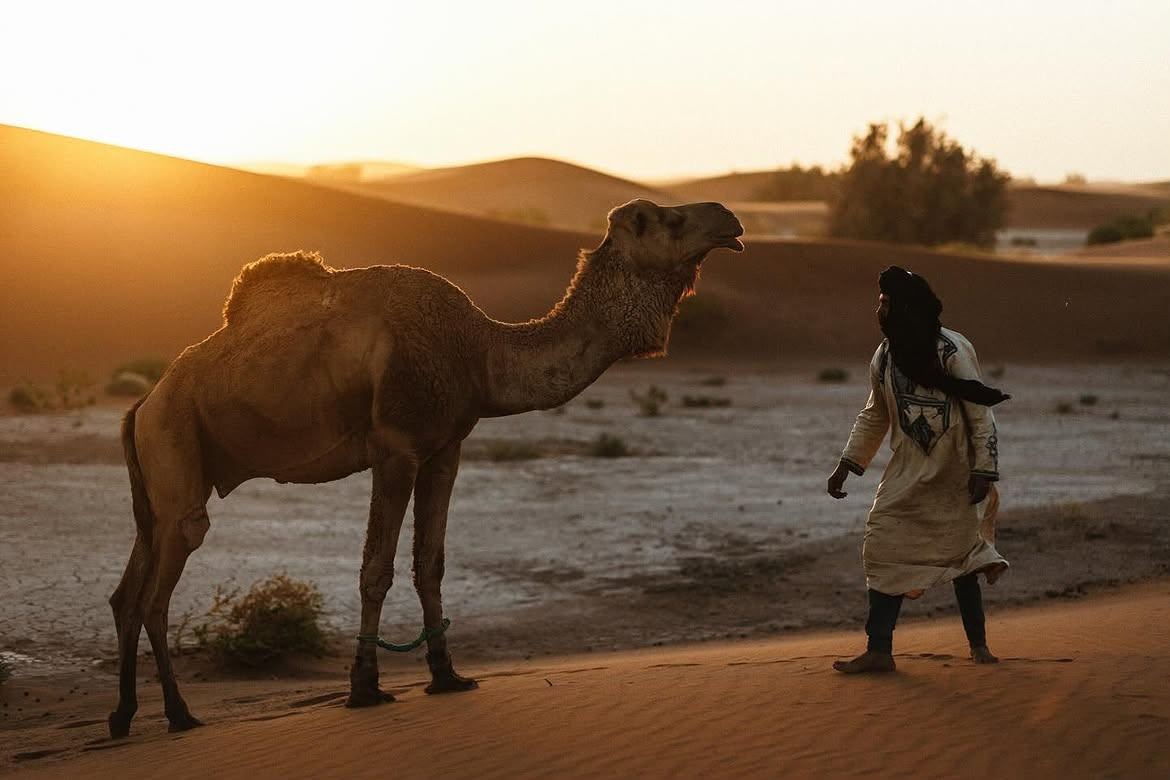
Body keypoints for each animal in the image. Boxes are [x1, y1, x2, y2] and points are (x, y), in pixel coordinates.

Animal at [107, 199, 743, 737]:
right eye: (669, 219)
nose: (729, 218)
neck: (480, 352)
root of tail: (143, 402)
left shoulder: (445, 448)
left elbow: (429, 563)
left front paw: (447, 676)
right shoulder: (396, 447)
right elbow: (376, 569)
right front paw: (364, 688)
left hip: (158, 476)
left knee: (127, 589)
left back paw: (122, 716)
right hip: (175, 446)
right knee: (159, 589)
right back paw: (179, 714)